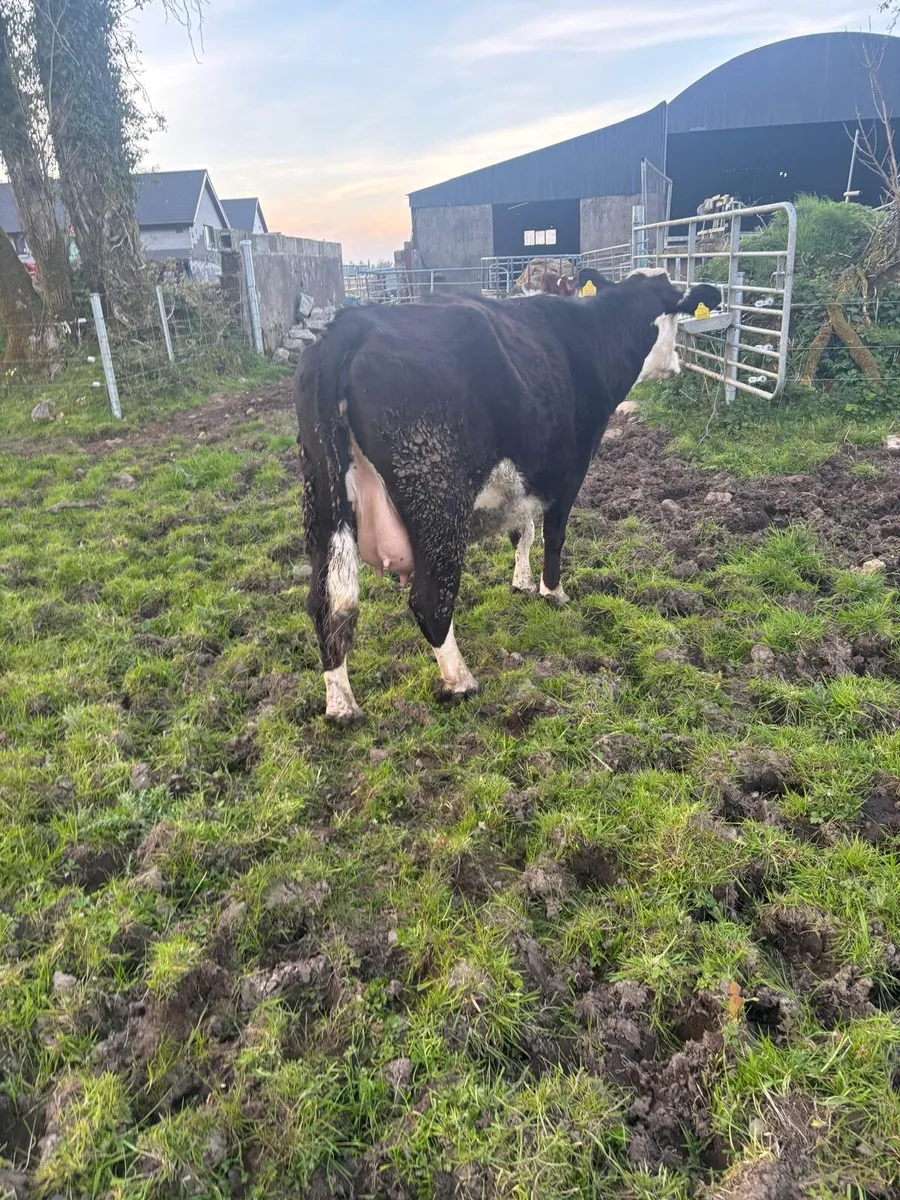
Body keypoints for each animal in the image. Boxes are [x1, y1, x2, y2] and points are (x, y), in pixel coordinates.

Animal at [296, 270, 721, 723]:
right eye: (675, 312)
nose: (676, 366)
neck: (593, 334)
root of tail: (352, 326)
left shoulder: (526, 474)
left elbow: (522, 531)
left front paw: (520, 581)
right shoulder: (569, 470)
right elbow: (553, 535)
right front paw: (552, 591)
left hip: (321, 501)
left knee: (327, 605)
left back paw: (341, 704)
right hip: (438, 502)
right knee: (429, 600)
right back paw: (461, 681)